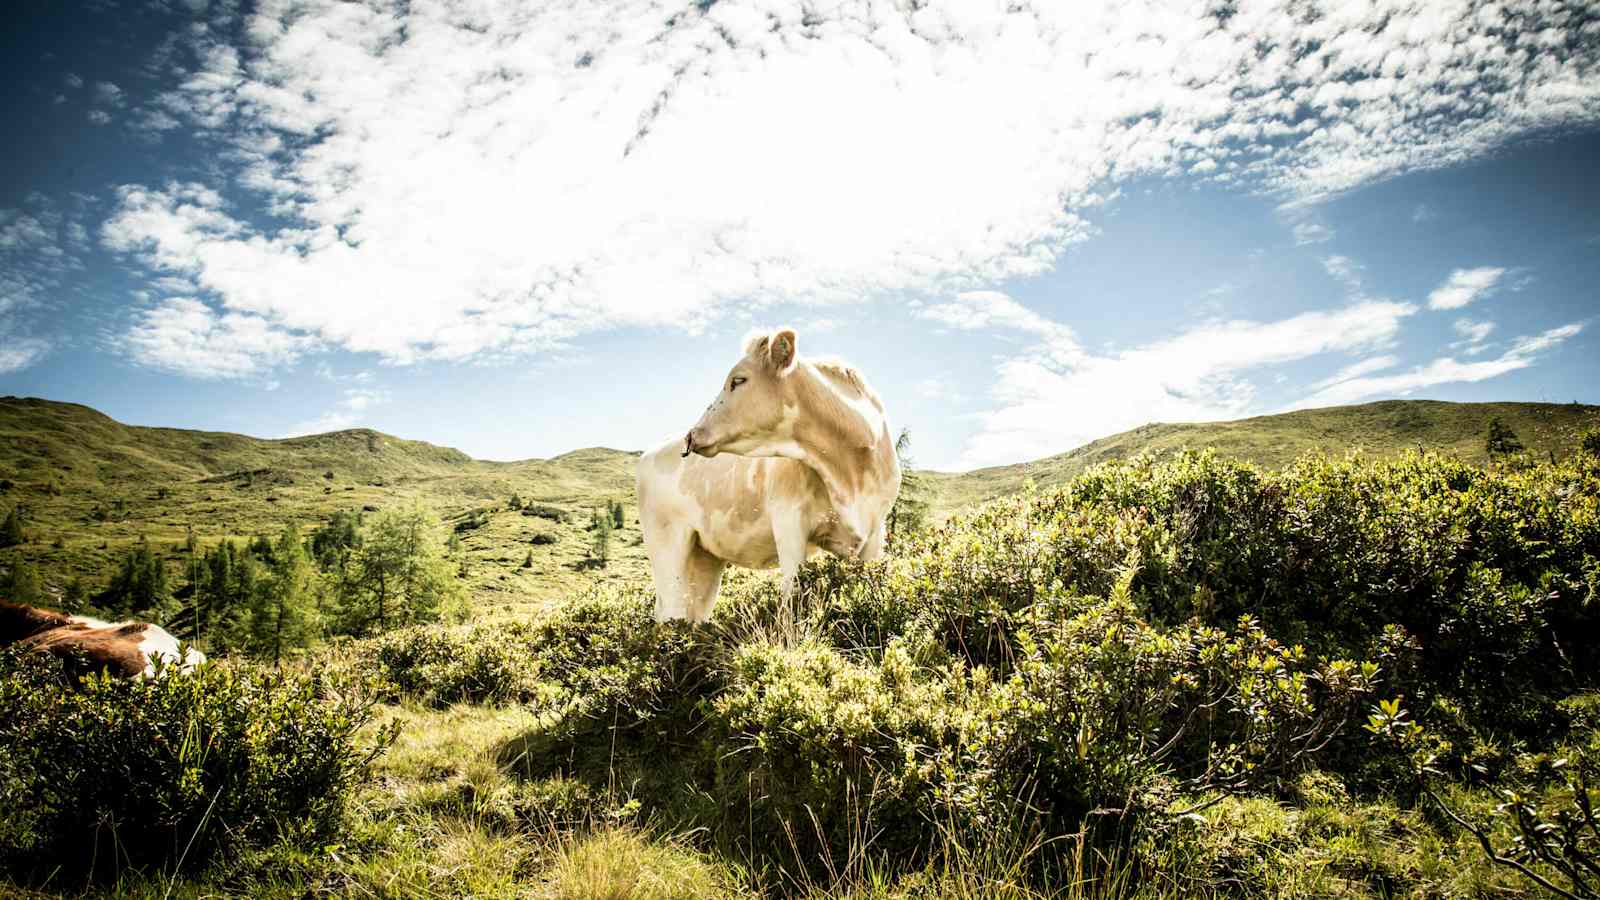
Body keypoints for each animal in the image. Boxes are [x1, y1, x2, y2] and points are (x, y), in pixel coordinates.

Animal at [630, 325, 902, 621]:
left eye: (738, 380)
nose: (693, 435)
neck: (849, 473)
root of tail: (651, 451)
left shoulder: (875, 534)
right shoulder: (789, 520)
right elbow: (792, 595)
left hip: (704, 558)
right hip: (667, 548)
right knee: (671, 612)